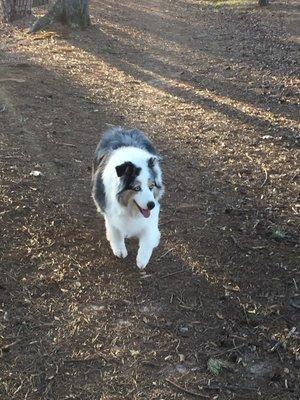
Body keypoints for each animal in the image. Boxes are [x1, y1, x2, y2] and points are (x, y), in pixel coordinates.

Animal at [91, 126, 164, 268]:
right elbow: (116, 231)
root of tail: (122, 129)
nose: (151, 205)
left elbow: (148, 237)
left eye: (151, 186)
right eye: (137, 188)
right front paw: (119, 249)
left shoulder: (151, 216)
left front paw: (142, 259)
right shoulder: (110, 210)